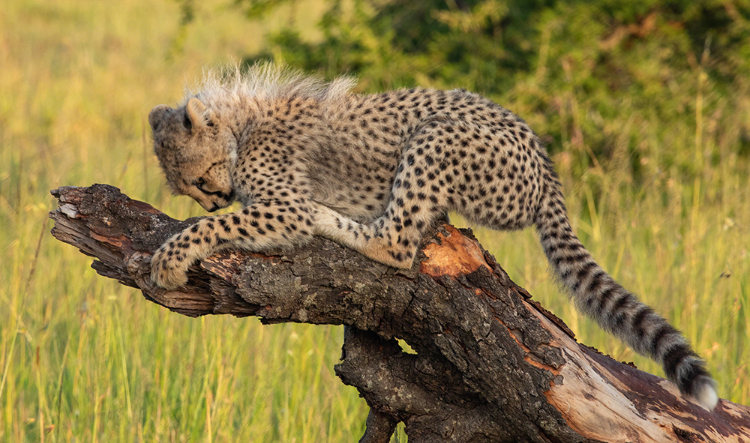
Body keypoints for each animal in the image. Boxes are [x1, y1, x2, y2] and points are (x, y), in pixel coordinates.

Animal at [148, 63, 718, 409]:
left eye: (199, 182)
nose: (213, 198)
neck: (240, 125)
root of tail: (546, 164)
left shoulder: (284, 207)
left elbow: (223, 226)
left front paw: (168, 259)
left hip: (436, 133)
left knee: (396, 242)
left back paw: (332, 220)